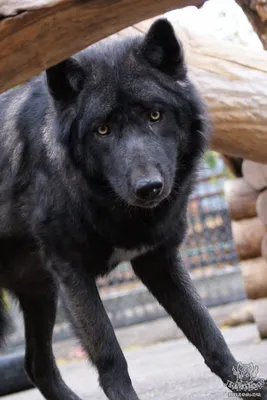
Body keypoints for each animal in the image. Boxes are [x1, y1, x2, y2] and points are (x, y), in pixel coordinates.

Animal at [0, 19, 266, 400]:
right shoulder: (72, 272)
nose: (148, 188)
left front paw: (246, 385)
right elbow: (110, 353)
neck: (117, 210)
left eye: (155, 115)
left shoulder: (157, 260)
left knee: (36, 366)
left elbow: (207, 329)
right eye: (102, 130)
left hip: (41, 293)